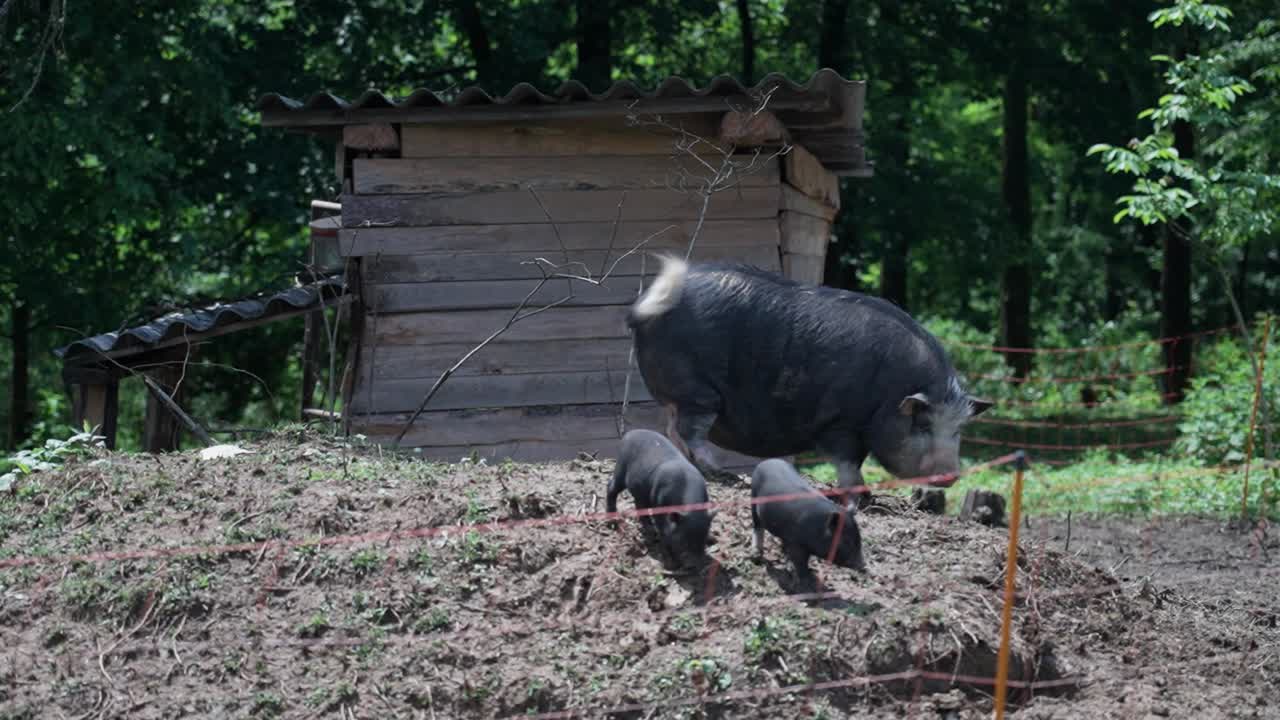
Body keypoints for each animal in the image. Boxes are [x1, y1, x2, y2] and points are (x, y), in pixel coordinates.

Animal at [606, 428, 717, 566]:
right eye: (684, 541)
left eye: (703, 540)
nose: (695, 565)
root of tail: (630, 433)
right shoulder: (659, 505)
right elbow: (663, 530)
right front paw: (671, 561)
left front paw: (713, 539)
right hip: (621, 468)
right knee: (611, 487)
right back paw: (613, 521)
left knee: (639, 503)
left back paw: (648, 528)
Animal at [627, 256, 993, 509]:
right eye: (923, 424)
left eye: (958, 430)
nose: (951, 474)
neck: (889, 394)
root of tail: (649, 304)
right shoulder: (840, 422)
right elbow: (847, 463)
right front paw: (855, 500)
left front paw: (867, 498)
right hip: (698, 392)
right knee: (688, 430)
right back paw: (720, 471)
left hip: (682, 395)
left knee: (672, 428)